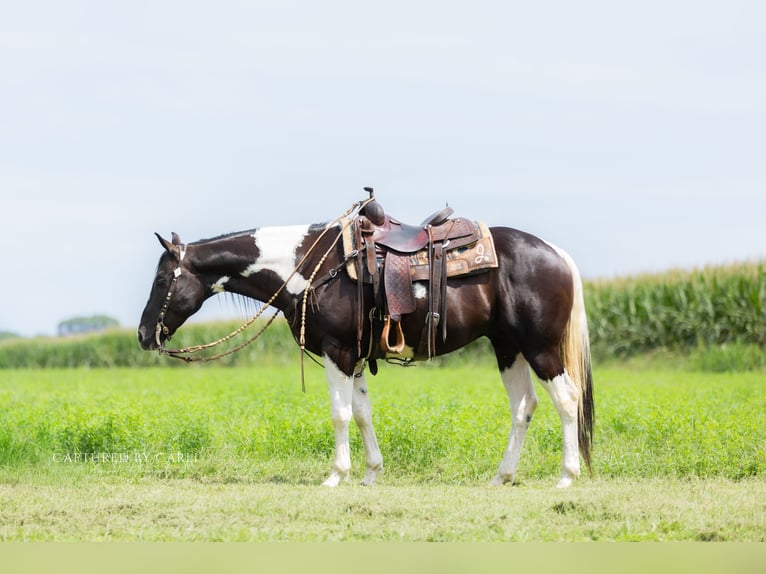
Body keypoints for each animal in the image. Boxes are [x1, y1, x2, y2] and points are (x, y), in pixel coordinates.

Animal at [137, 198, 594, 488]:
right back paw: (502, 476)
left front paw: (336, 475)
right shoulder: (355, 357)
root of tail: (557, 253)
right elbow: (361, 413)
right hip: (507, 347)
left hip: (540, 348)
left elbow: (340, 415)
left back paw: (566, 477)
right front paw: (371, 472)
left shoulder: (337, 351)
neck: (307, 265)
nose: (143, 335)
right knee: (523, 406)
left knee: (567, 400)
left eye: (161, 280)